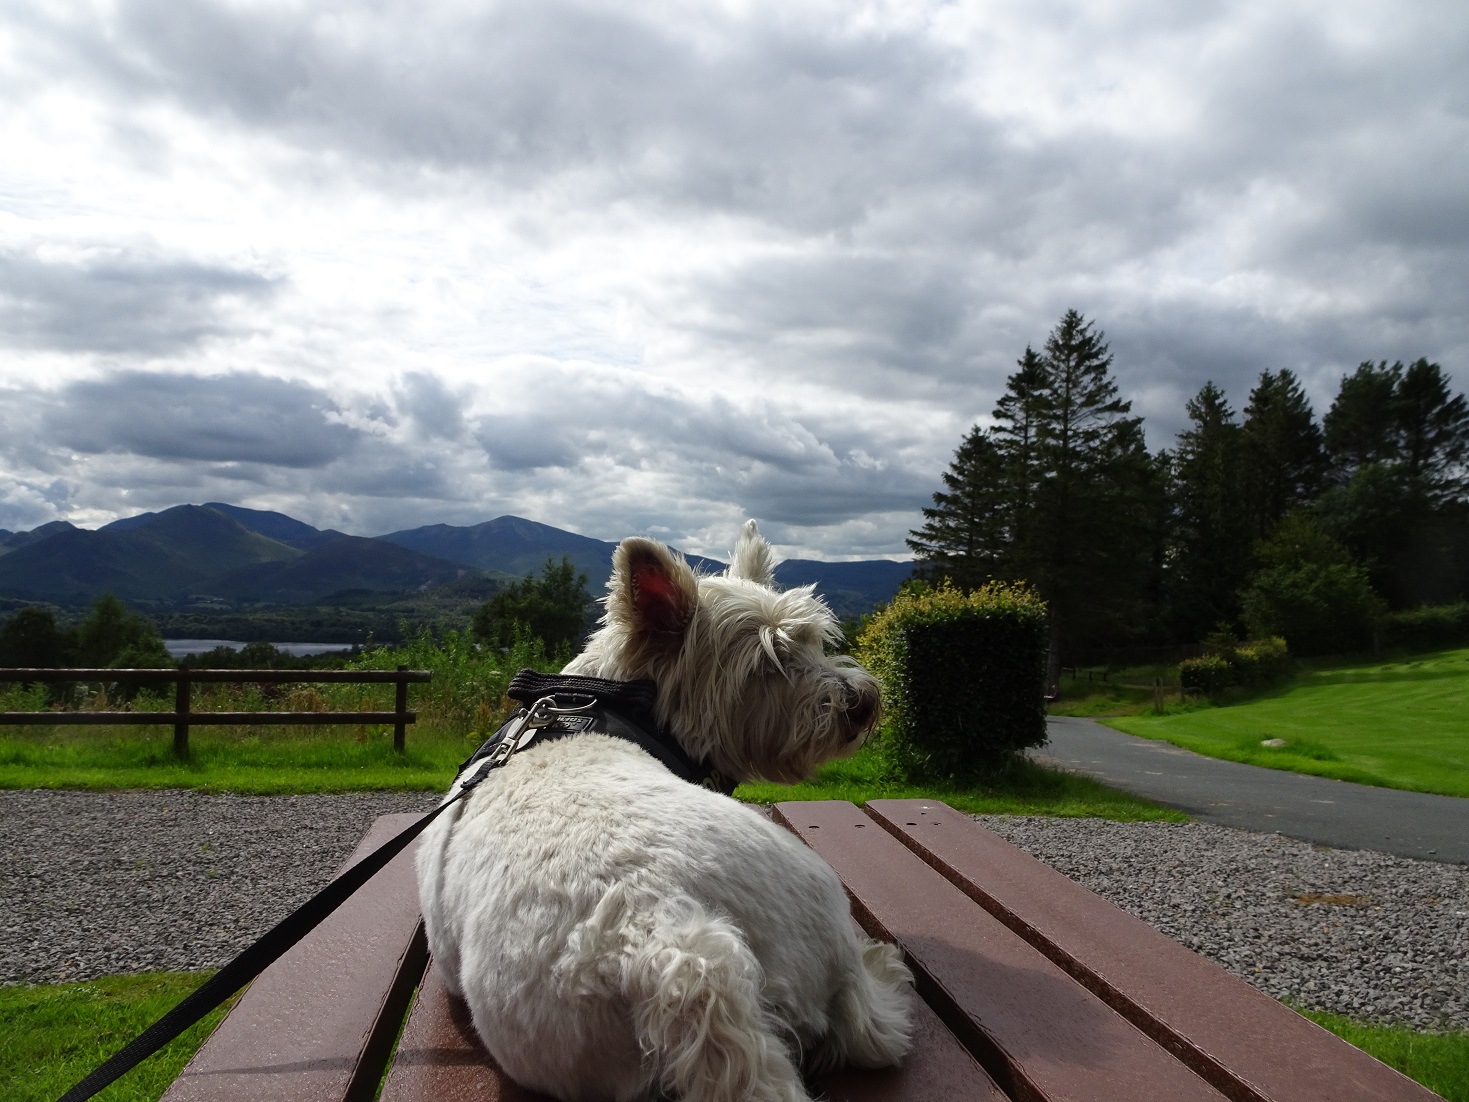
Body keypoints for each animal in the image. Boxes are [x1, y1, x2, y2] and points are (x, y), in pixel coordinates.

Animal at [420, 523, 910, 1102]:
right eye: (767, 664)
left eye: (814, 640)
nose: (861, 703)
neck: (614, 699)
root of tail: (662, 944)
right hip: (826, 905)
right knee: (871, 1024)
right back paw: (886, 967)